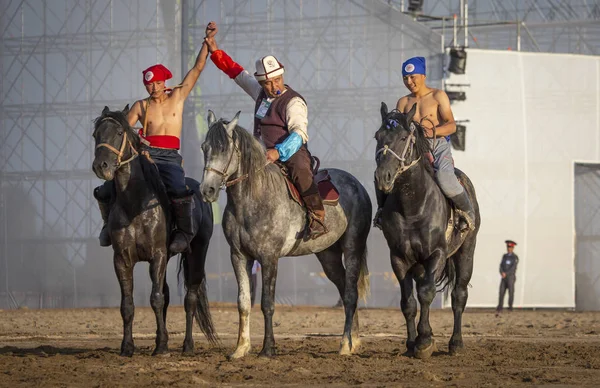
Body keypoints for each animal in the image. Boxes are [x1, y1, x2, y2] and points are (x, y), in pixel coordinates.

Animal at [91, 104, 218, 356]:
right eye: (95, 135)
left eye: (119, 133)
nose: (101, 166)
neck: (135, 203)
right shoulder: (122, 259)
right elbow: (128, 304)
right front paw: (127, 347)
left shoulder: (157, 255)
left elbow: (156, 299)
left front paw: (161, 347)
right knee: (168, 294)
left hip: (198, 252)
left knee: (190, 297)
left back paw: (188, 345)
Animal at [200, 110, 370, 360]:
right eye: (204, 147)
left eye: (224, 149)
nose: (207, 191)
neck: (253, 199)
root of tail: (358, 185)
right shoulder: (238, 256)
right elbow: (244, 302)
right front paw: (240, 349)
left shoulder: (269, 258)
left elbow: (267, 303)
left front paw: (267, 349)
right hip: (327, 256)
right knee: (345, 289)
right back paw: (353, 341)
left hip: (352, 249)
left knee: (350, 293)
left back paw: (345, 345)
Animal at [376, 102, 482, 358]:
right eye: (377, 136)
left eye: (403, 137)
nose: (382, 177)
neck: (413, 206)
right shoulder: (399, 258)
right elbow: (408, 302)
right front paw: (411, 343)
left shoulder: (437, 254)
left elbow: (426, 293)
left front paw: (424, 341)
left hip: (466, 252)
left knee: (459, 295)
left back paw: (456, 343)